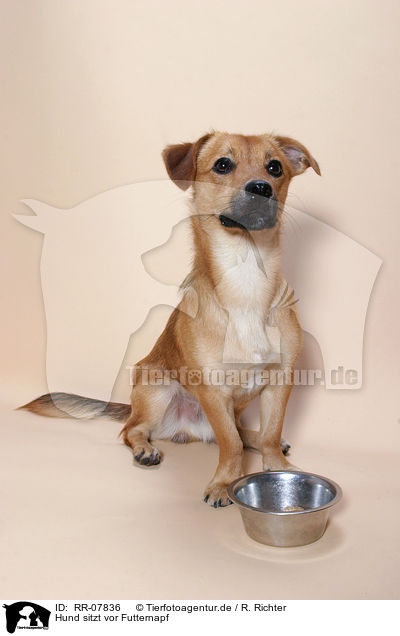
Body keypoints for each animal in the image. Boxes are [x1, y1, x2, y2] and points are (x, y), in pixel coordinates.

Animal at [21, 133, 320, 506]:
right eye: (223, 165)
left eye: (275, 167)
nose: (261, 188)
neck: (246, 276)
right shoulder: (213, 391)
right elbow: (230, 444)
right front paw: (223, 483)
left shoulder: (280, 381)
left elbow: (269, 432)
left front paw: (278, 468)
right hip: (157, 390)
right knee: (131, 430)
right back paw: (144, 449)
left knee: (242, 431)